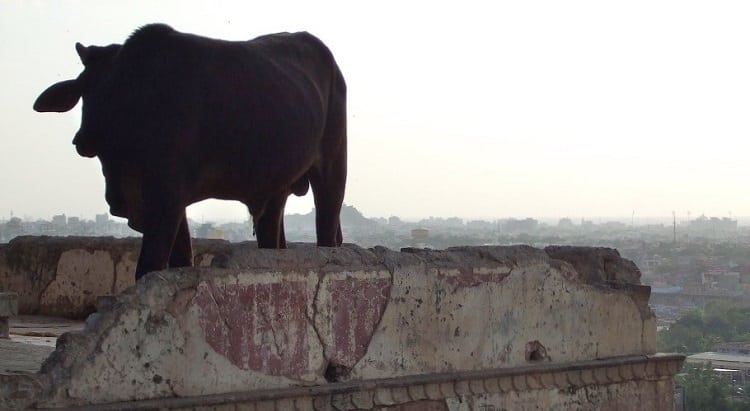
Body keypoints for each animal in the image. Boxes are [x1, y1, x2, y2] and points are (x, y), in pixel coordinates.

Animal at [34, 24, 347, 280]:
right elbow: (182, 259)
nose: (84, 140)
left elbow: (149, 266)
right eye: (84, 89)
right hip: (276, 185)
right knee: (272, 235)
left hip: (332, 168)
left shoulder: (167, 196)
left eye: (120, 89)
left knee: (327, 227)